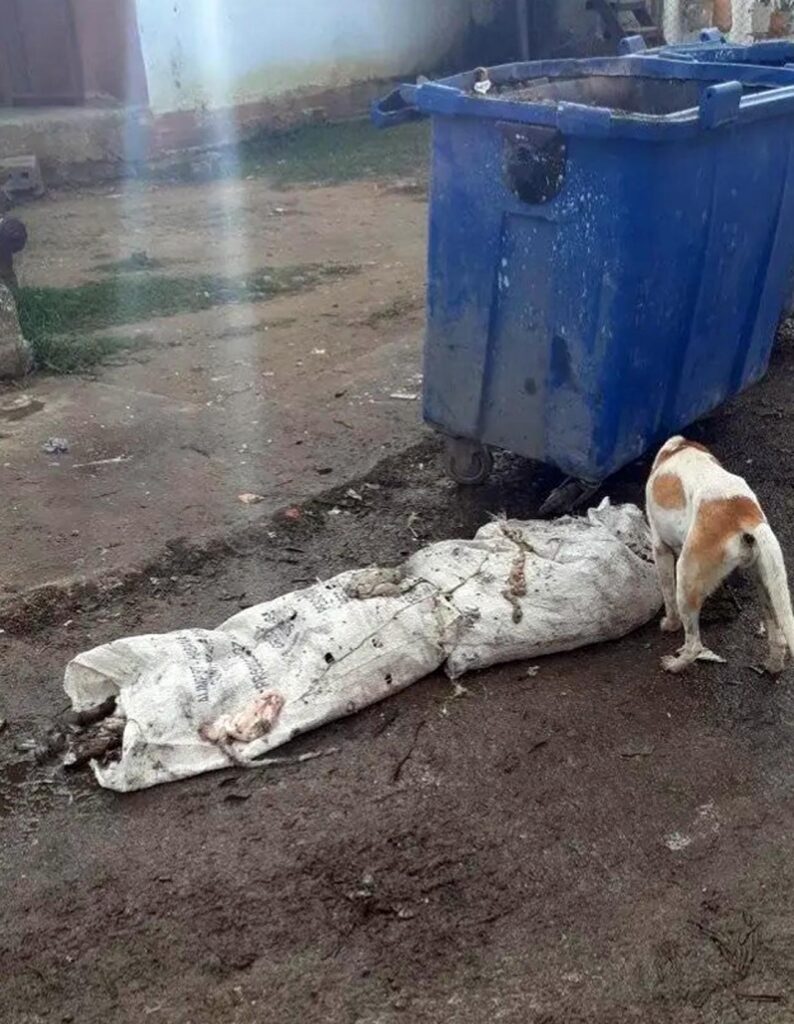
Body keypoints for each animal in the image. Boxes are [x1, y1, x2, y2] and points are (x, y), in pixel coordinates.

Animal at [647, 436, 794, 675]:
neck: (680, 447)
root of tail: (745, 515)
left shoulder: (660, 548)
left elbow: (667, 594)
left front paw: (670, 624)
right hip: (766, 584)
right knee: (778, 637)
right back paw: (773, 665)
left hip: (686, 579)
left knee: (694, 645)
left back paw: (675, 665)